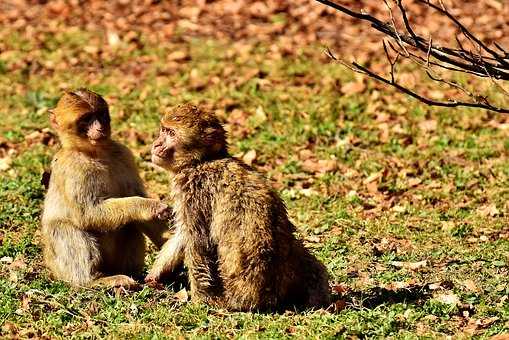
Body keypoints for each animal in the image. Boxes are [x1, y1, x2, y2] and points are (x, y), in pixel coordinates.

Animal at [40, 89, 170, 288]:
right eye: (86, 119)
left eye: (100, 115)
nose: (100, 128)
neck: (95, 153)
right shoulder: (73, 168)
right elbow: (87, 214)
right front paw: (149, 206)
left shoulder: (124, 154)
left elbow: (135, 196)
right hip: (60, 267)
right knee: (65, 228)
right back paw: (95, 280)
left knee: (130, 224)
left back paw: (132, 274)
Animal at [146, 105, 330, 312]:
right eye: (163, 130)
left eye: (171, 133)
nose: (156, 144)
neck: (202, 161)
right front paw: (156, 273)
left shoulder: (192, 192)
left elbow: (198, 243)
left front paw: (201, 301)